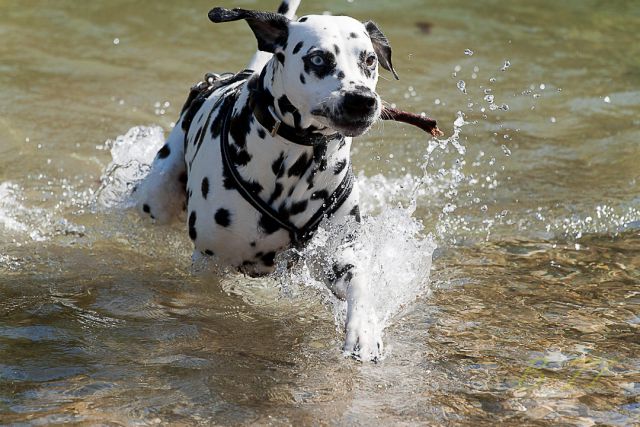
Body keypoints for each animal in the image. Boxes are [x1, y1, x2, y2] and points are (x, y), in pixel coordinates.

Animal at [136, 0, 400, 362]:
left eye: (370, 59)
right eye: (318, 59)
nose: (362, 100)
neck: (295, 161)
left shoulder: (339, 257)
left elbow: (359, 282)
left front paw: (365, 332)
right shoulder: (210, 262)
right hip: (158, 195)